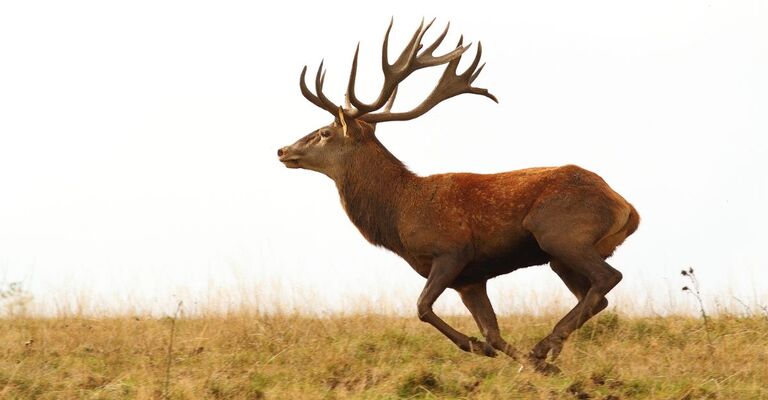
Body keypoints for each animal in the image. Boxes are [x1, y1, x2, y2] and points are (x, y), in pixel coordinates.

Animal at [277, 19, 639, 373]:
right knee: (595, 295)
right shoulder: (471, 279)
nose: (282, 150)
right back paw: (549, 351)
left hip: (561, 234)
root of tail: (627, 209)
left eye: (325, 132)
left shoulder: (452, 251)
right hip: (560, 257)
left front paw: (484, 349)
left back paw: (545, 344)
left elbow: (422, 307)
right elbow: (492, 331)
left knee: (608, 278)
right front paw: (529, 365)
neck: (399, 214)